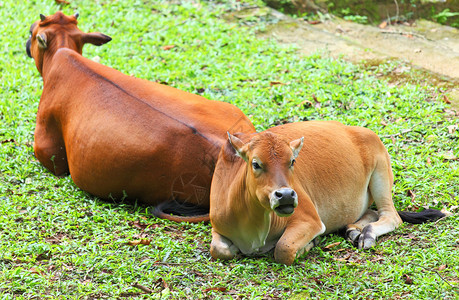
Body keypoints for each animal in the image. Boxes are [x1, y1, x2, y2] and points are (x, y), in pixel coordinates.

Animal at [210, 120, 448, 264]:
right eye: (256, 163)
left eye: (292, 161)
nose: (285, 195)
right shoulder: (217, 225)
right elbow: (218, 250)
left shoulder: (310, 219)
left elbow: (283, 249)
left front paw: (309, 245)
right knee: (371, 213)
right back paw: (354, 231)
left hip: (380, 171)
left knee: (391, 216)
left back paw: (366, 234)